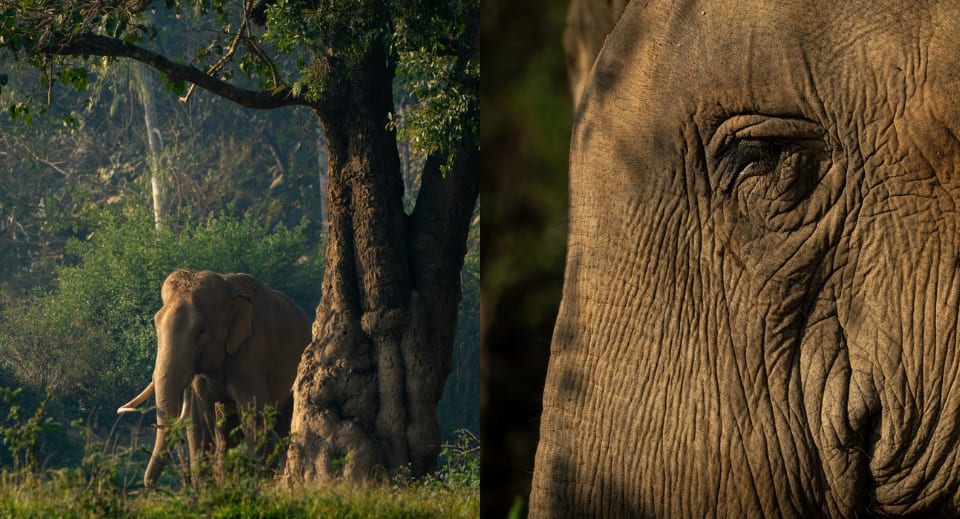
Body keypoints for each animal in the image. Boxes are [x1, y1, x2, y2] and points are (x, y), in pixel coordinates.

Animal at [118, 269, 311, 487]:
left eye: (201, 331)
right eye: (156, 323)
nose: (151, 486)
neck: (227, 288)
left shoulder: (253, 354)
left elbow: (253, 415)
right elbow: (201, 421)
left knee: (284, 423)